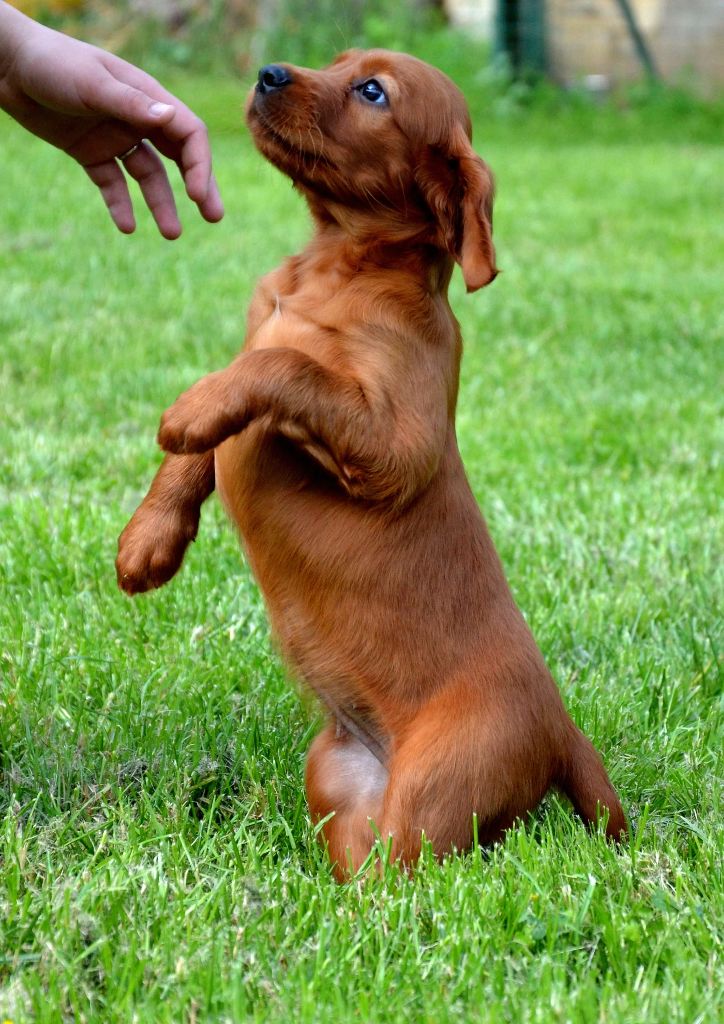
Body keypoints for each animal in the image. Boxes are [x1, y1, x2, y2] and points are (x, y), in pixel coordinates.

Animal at [116, 50, 626, 878]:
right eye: (338, 64)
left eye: (372, 92)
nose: (268, 72)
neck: (332, 264)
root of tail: (561, 727)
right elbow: (206, 447)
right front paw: (148, 541)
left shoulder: (396, 444)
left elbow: (282, 368)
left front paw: (191, 410)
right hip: (335, 775)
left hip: (439, 785)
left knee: (407, 881)